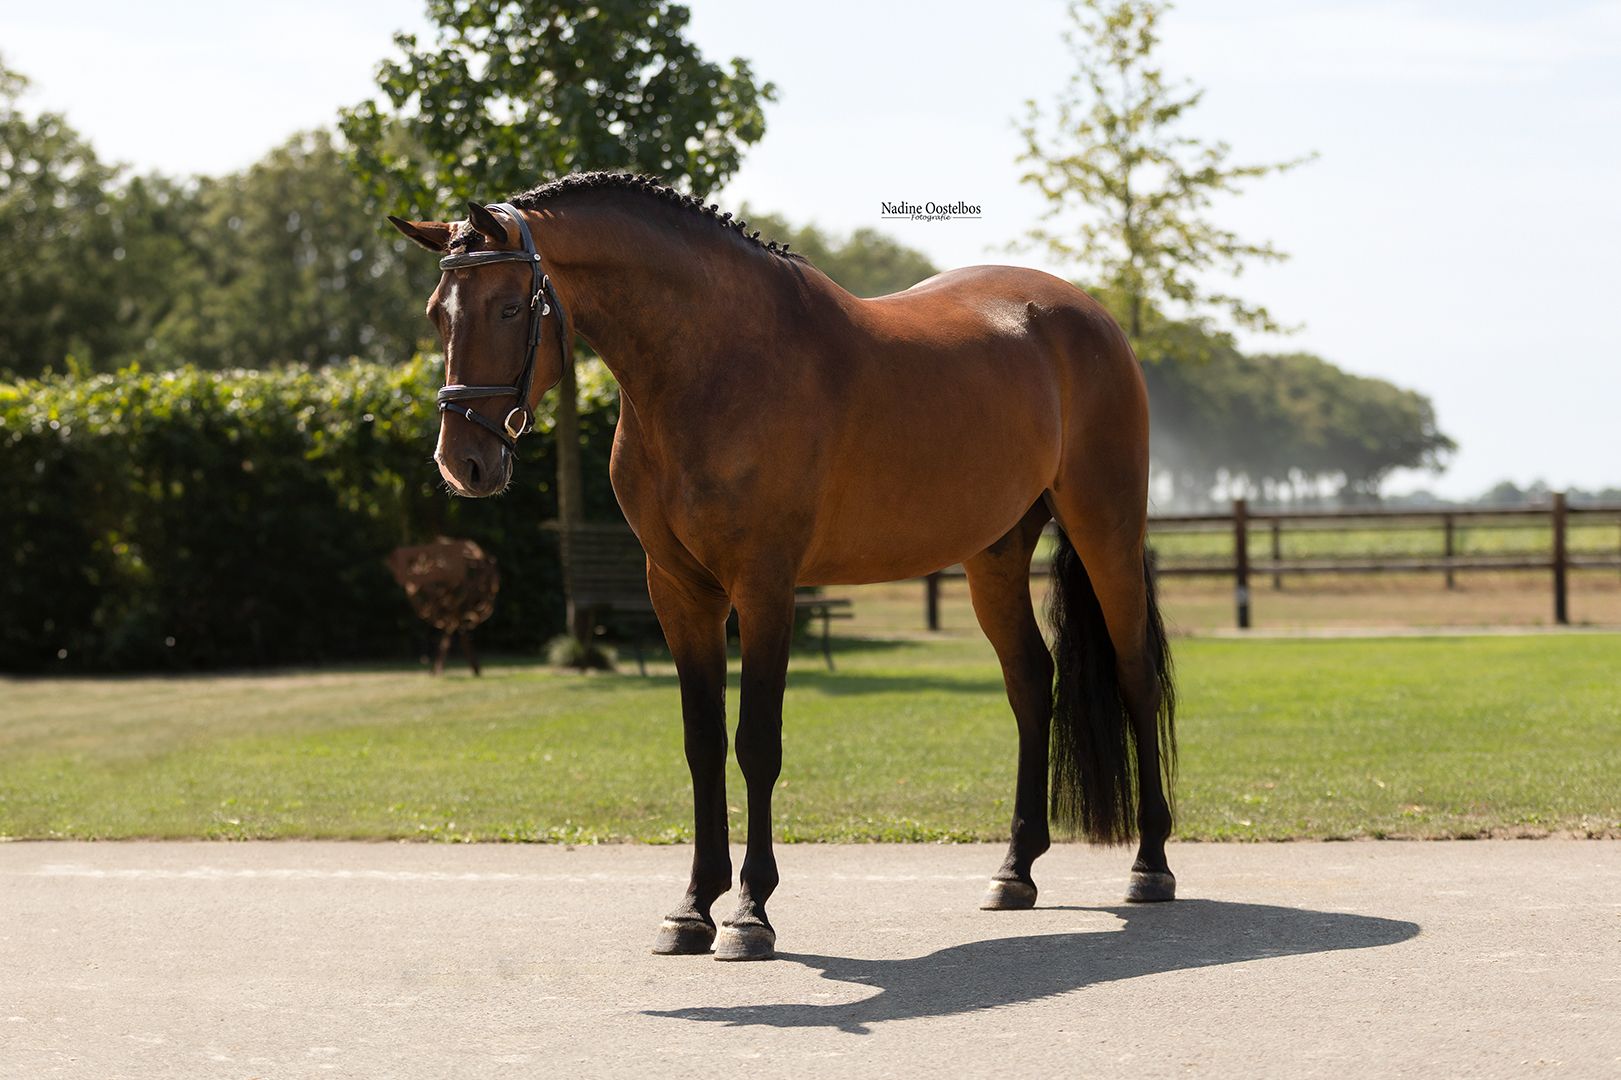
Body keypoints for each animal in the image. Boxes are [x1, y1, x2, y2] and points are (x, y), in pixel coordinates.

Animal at [388, 172, 1176, 962]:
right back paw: (1014, 871)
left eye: (509, 306)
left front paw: (749, 913)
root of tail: (1088, 315)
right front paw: (691, 909)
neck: (713, 363)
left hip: (1104, 529)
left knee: (1134, 674)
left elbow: (755, 743)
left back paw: (1150, 864)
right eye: (435, 314)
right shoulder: (679, 591)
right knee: (1030, 683)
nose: (462, 463)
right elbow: (702, 743)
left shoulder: (764, 587)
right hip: (995, 556)